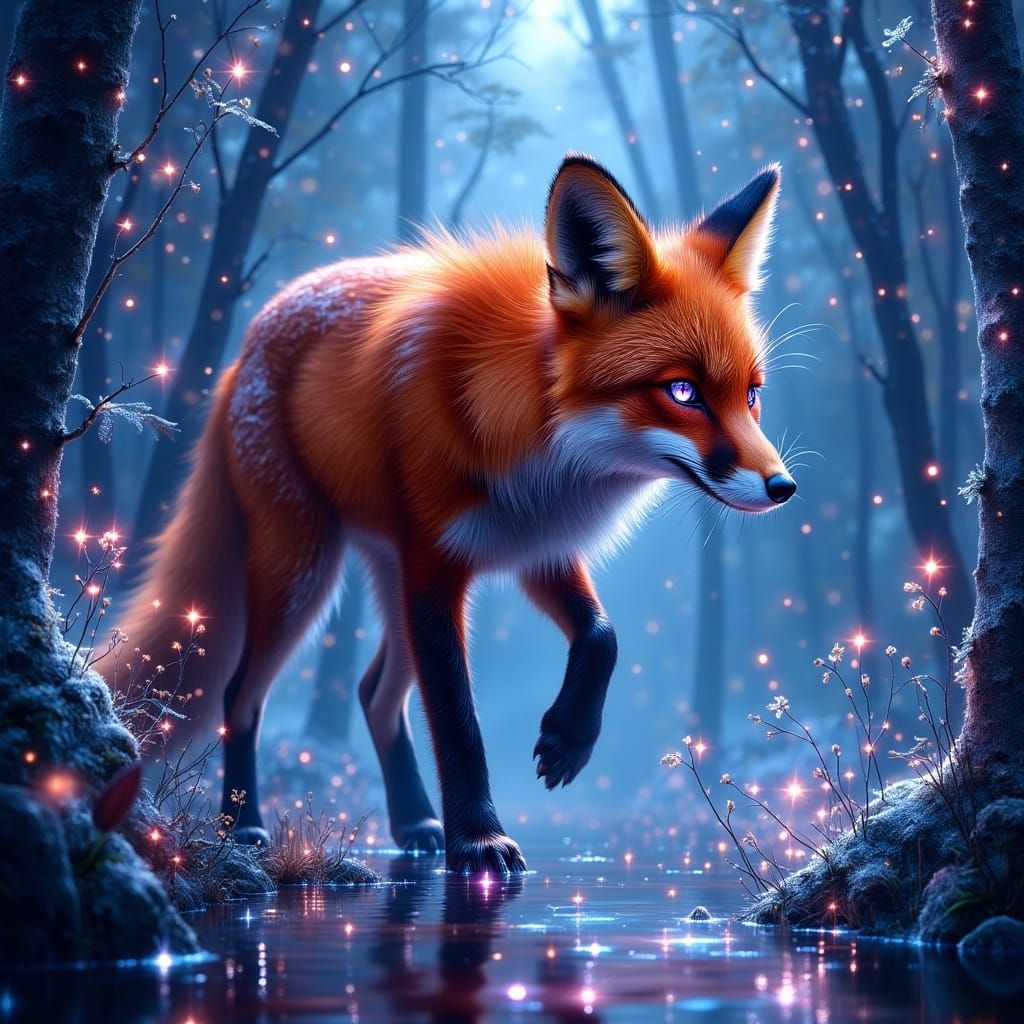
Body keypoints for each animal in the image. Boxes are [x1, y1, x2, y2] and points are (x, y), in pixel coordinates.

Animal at [111, 155, 795, 874]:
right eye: (683, 391)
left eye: (752, 395)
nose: (784, 487)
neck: (543, 449)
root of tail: (248, 342)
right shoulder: (438, 569)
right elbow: (458, 719)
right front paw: (480, 839)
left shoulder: (536, 547)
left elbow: (602, 635)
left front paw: (568, 740)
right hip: (304, 568)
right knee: (241, 693)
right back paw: (242, 825)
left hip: (386, 574)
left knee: (374, 693)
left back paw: (414, 820)